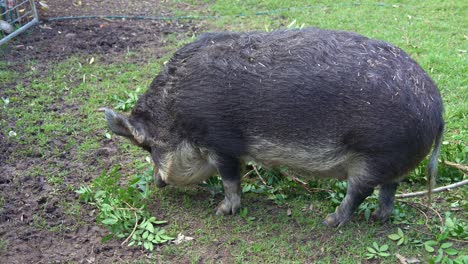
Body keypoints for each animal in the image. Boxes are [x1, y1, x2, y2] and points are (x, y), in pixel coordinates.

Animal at [104, 28, 444, 227]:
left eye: (149, 147)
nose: (157, 183)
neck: (177, 114)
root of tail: (438, 107)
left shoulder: (222, 142)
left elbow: (231, 179)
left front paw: (222, 212)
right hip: (392, 160)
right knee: (390, 188)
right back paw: (378, 218)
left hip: (375, 156)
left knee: (360, 191)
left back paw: (329, 221)